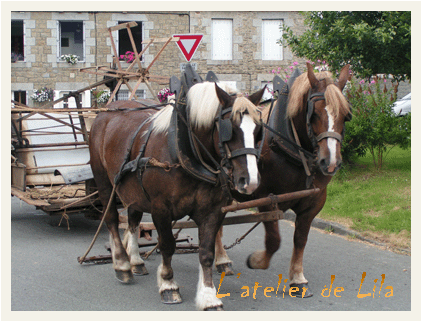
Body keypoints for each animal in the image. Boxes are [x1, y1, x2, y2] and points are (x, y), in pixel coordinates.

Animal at [89, 82, 262, 310]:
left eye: (258, 130)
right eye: (229, 129)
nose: (250, 181)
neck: (186, 151)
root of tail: (106, 111)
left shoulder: (212, 210)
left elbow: (206, 252)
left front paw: (208, 295)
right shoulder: (160, 208)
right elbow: (167, 245)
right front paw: (168, 284)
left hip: (134, 190)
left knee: (133, 220)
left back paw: (135, 261)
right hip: (104, 182)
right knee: (111, 219)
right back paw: (122, 264)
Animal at [215, 62, 350, 296]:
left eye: (345, 114)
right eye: (314, 113)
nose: (330, 162)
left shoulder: (313, 202)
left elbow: (300, 239)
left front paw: (297, 278)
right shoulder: (267, 198)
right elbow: (274, 241)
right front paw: (257, 260)